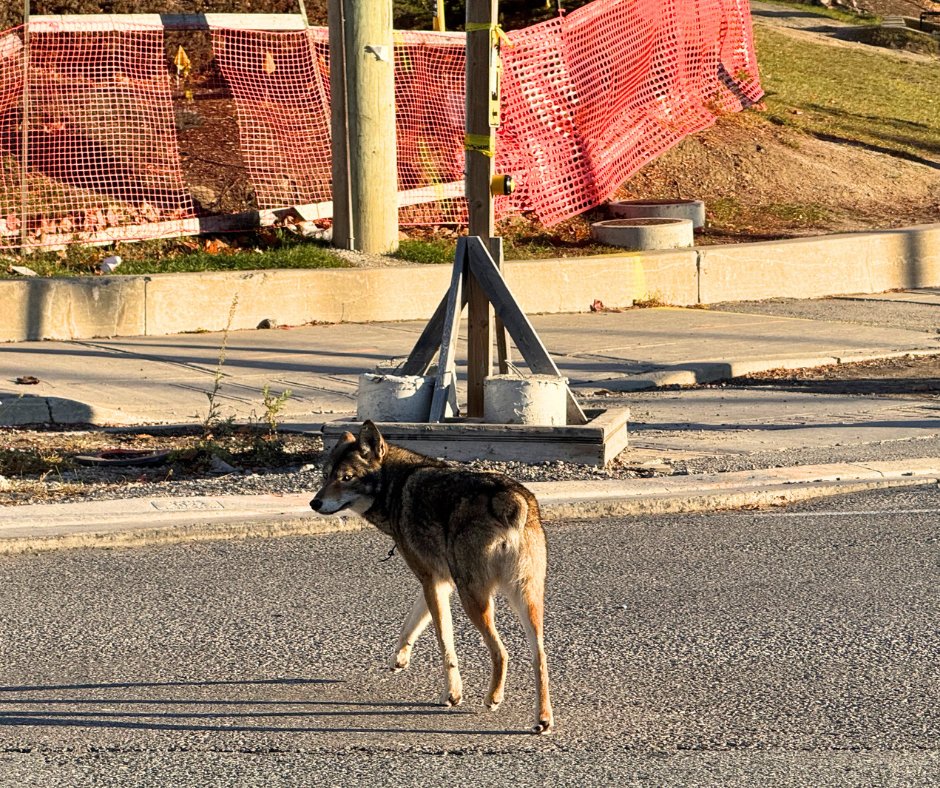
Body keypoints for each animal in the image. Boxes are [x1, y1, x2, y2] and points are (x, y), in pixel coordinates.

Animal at [310, 420, 553, 734]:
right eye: (326, 476)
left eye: (347, 477)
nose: (314, 503)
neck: (396, 486)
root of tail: (508, 497)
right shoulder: (437, 581)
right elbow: (410, 624)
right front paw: (399, 659)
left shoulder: (433, 582)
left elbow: (444, 643)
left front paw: (452, 694)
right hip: (526, 599)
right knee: (540, 656)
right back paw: (542, 719)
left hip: (474, 598)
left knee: (502, 651)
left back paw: (493, 699)